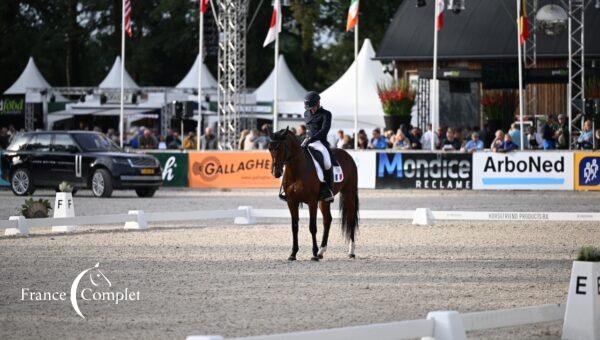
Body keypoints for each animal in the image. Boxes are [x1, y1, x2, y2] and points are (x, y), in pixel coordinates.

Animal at [268, 127, 360, 260]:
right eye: (269, 148)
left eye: (281, 147)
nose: (276, 172)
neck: (297, 170)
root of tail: (347, 154)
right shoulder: (292, 201)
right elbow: (294, 227)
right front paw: (293, 254)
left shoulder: (312, 202)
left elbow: (312, 227)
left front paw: (314, 253)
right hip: (324, 200)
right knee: (327, 220)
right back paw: (321, 251)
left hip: (349, 193)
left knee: (351, 219)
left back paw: (351, 252)